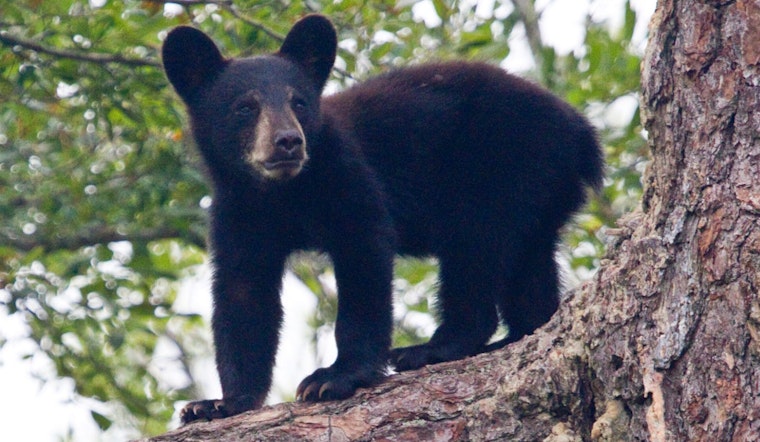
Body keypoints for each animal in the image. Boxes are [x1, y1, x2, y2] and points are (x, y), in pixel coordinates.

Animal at [162, 14, 603, 423]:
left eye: (298, 101)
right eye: (245, 107)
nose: (288, 141)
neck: (284, 193)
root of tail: (581, 131)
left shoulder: (347, 175)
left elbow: (365, 258)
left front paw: (334, 377)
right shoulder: (238, 212)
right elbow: (243, 295)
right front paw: (219, 404)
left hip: (504, 166)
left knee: (474, 250)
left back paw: (430, 348)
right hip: (540, 188)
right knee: (529, 264)